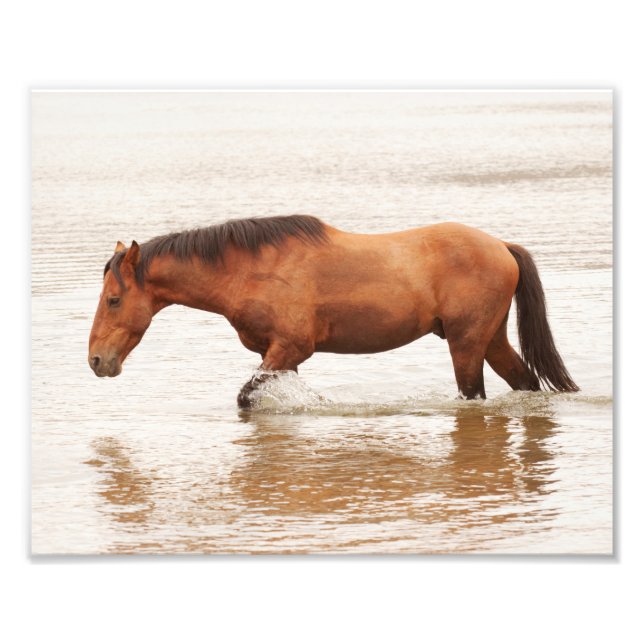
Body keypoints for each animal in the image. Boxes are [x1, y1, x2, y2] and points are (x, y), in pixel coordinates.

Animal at [88, 214, 578, 408]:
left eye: (114, 300)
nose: (96, 361)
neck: (251, 270)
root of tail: (501, 247)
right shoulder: (278, 355)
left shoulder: (290, 348)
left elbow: (246, 398)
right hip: (490, 339)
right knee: (525, 381)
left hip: (467, 345)